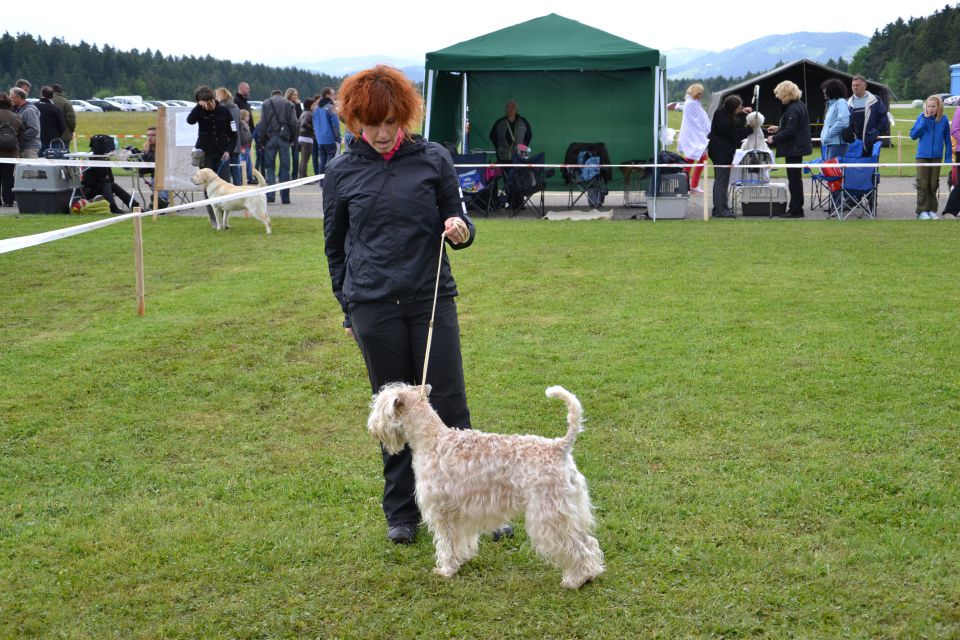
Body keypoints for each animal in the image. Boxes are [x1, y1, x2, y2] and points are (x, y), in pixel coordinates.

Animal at [364, 382, 604, 588]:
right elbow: (460, 540)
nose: (372, 427)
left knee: (575, 546)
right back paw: (590, 573)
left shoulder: (442, 511)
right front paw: (462, 559)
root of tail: (560, 446)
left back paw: (574, 580)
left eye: (380, 405)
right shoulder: (460, 511)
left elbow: (446, 543)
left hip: (549, 514)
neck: (431, 440)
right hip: (570, 508)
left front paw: (446, 569)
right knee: (589, 542)